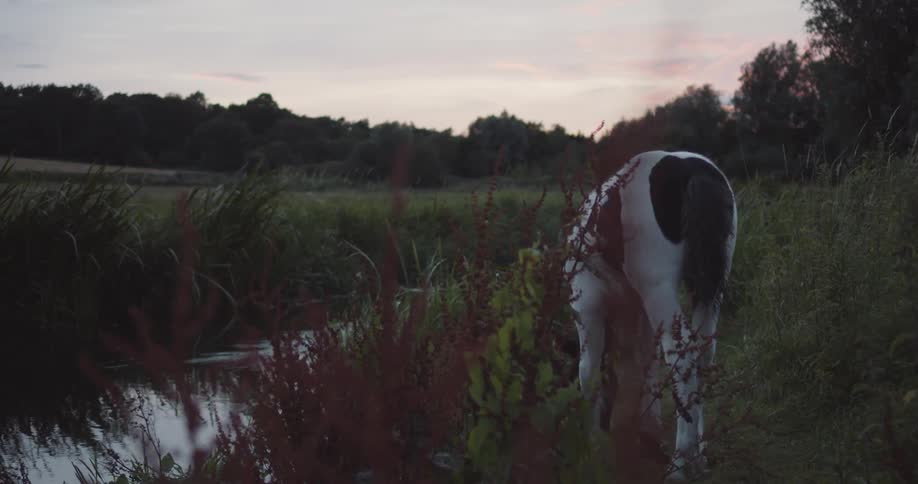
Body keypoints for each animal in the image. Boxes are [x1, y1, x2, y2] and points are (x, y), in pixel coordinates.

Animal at [564, 150, 737, 480]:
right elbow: (646, 359)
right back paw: (699, 457)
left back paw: (679, 467)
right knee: (703, 351)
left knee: (682, 354)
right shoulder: (639, 310)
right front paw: (648, 427)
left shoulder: (587, 306)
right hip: (710, 289)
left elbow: (588, 370)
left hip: (658, 289)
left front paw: (588, 445)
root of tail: (690, 169)